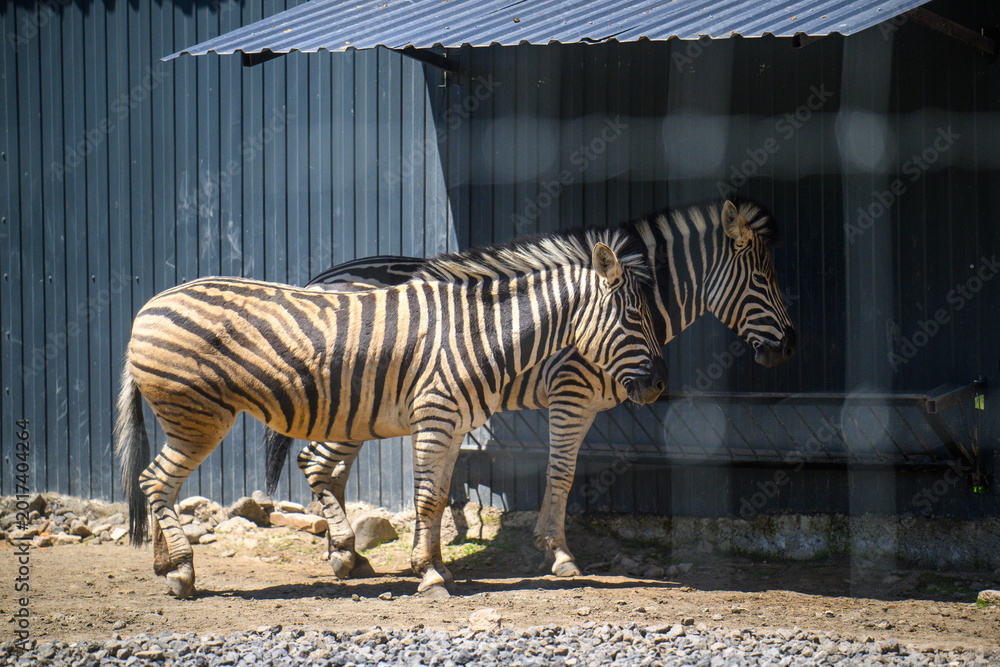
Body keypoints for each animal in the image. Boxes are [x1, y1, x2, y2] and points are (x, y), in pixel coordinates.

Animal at [115, 227, 668, 599]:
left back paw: (168, 566)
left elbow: (440, 497)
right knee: (155, 482)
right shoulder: (436, 417)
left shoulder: (452, 425)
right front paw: (429, 575)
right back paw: (183, 572)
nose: (662, 384)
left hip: (188, 418)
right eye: (633, 317)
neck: (480, 335)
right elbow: (425, 500)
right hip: (197, 415)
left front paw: (438, 567)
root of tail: (146, 307)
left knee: (160, 484)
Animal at [263, 199, 795, 579]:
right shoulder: (570, 392)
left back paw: (348, 556)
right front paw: (559, 553)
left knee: (330, 469)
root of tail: (319, 280)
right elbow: (561, 472)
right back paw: (344, 553)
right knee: (317, 462)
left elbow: (563, 472)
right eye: (763, 279)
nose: (789, 348)